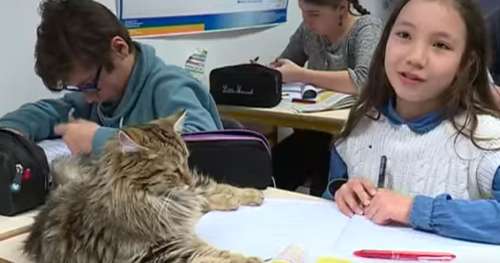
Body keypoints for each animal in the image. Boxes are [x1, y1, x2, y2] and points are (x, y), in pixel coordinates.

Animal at [23, 112, 266, 263]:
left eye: (186, 161)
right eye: (173, 170)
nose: (186, 179)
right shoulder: (163, 252)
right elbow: (214, 255)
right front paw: (248, 259)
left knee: (208, 190)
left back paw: (252, 194)